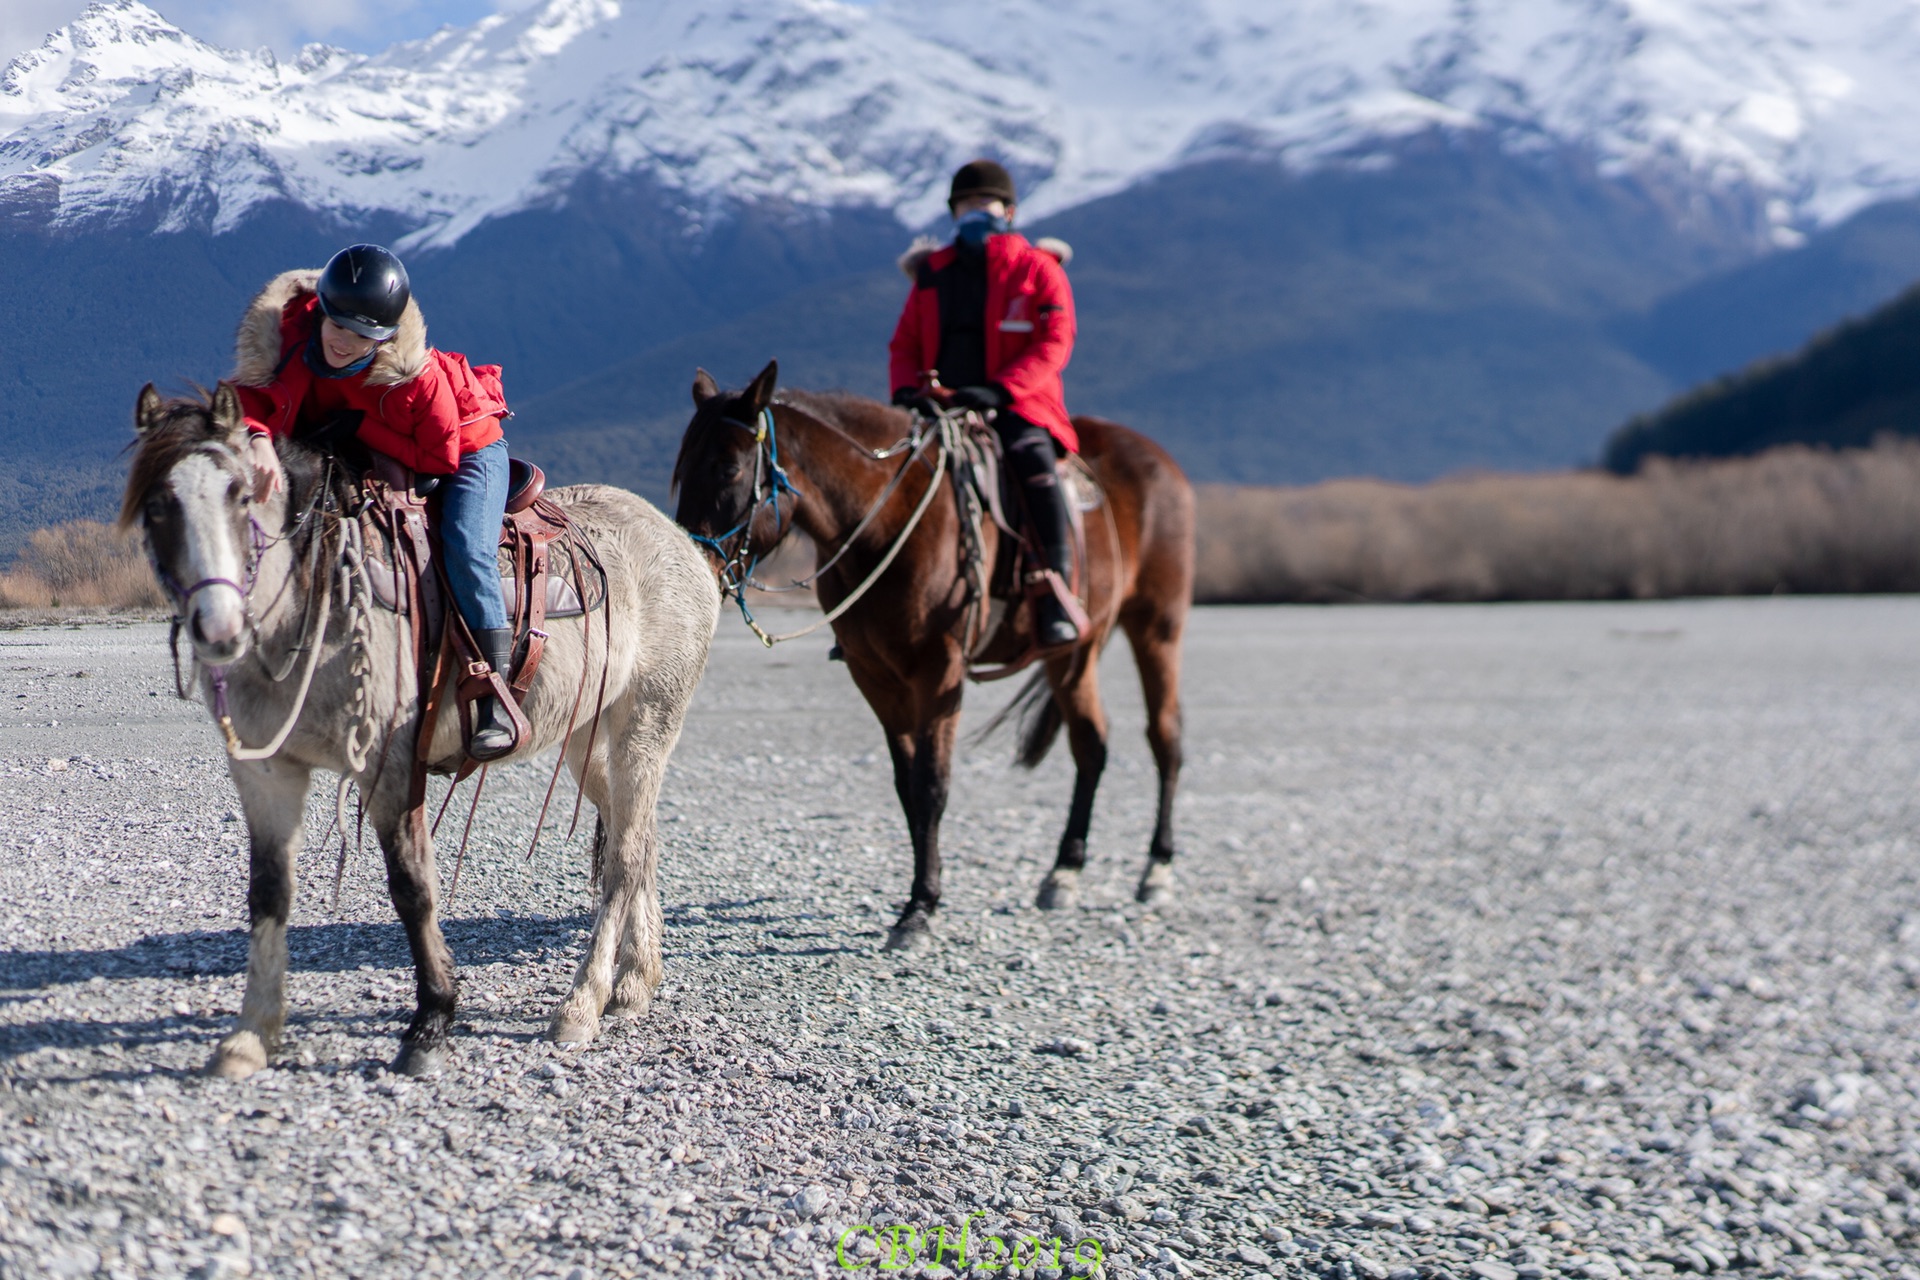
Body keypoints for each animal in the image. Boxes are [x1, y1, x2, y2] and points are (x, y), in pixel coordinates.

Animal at [123, 383, 721, 1082]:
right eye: (157, 505)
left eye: (240, 495)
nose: (218, 628)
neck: (309, 600)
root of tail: (682, 543)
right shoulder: (265, 776)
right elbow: (269, 894)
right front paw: (249, 1037)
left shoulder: (389, 767)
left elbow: (412, 888)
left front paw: (430, 1024)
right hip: (587, 741)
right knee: (639, 839)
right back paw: (633, 984)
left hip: (645, 727)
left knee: (623, 858)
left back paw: (583, 1004)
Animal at [672, 360, 1182, 951]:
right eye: (681, 471)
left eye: (730, 468)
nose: (692, 568)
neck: (885, 521)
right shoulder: (875, 676)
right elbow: (907, 786)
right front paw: (919, 896)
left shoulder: (941, 673)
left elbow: (932, 784)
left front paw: (921, 907)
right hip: (1073, 654)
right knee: (1091, 745)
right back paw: (1064, 872)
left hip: (1157, 629)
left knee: (1164, 737)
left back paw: (1157, 869)